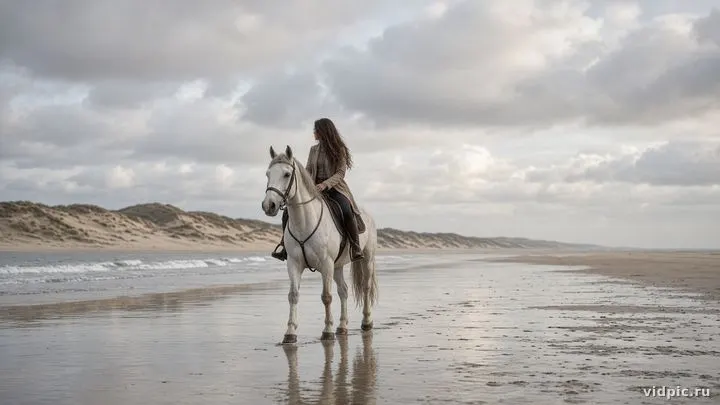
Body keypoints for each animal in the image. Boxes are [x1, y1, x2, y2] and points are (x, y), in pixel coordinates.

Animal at [261, 145, 379, 344]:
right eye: (268, 174)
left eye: (286, 174)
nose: (269, 205)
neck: (304, 222)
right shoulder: (294, 264)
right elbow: (293, 296)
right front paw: (290, 332)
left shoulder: (326, 264)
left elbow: (326, 297)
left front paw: (327, 330)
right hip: (338, 266)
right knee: (344, 291)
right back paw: (342, 326)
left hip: (366, 259)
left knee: (365, 287)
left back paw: (366, 322)